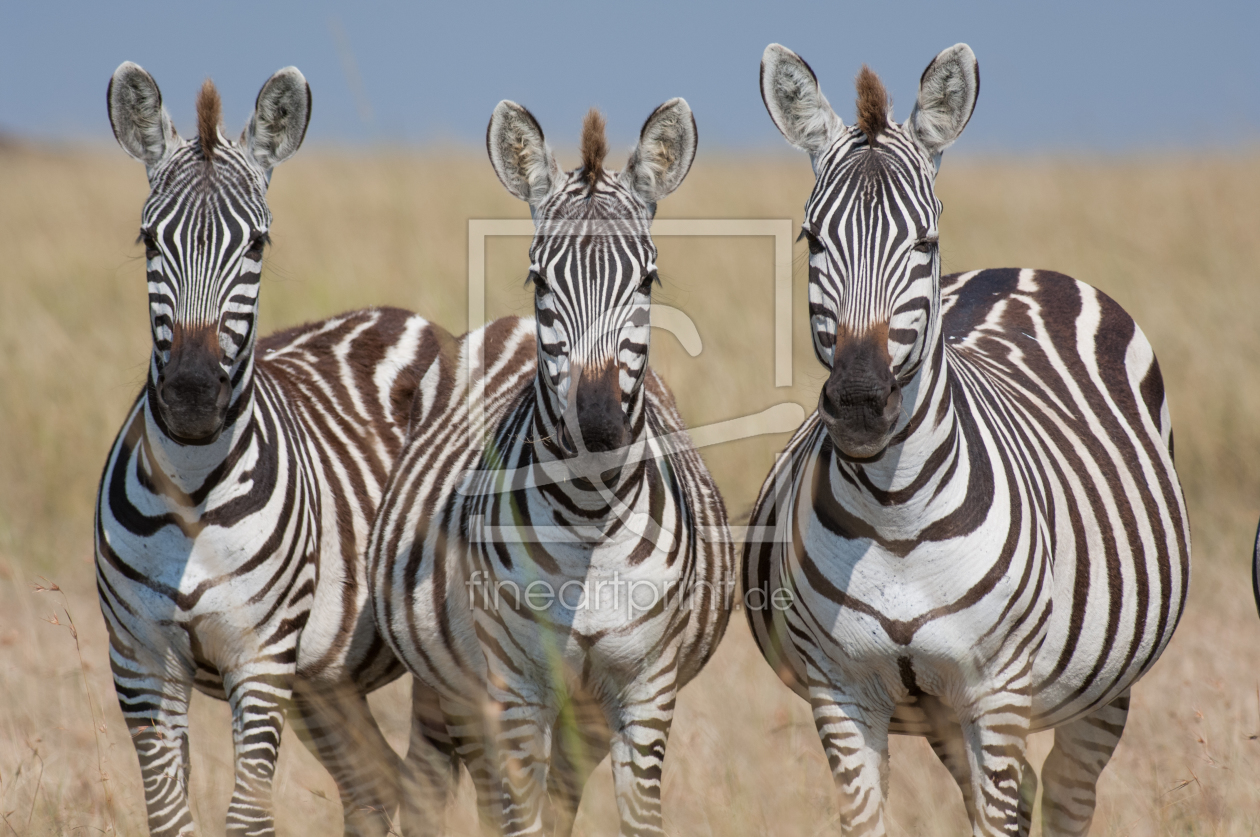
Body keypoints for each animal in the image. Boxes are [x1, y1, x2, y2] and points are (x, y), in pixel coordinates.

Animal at [99, 60, 453, 837]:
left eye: (257, 245)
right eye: (149, 241)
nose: (192, 397)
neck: (193, 491)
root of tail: (408, 318)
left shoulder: (260, 661)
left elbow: (247, 818)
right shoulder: (140, 663)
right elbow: (169, 817)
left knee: (429, 787)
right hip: (326, 677)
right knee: (374, 782)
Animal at [367, 101, 735, 831]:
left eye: (648, 279)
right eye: (540, 278)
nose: (599, 428)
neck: (591, 520)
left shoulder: (645, 690)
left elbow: (633, 818)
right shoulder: (516, 689)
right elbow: (520, 818)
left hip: (578, 715)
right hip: (451, 686)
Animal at [740, 45, 1194, 837]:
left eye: (924, 241)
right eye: (811, 239)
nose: (860, 404)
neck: (893, 516)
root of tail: (1015, 269)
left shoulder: (997, 689)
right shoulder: (842, 692)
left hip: (1105, 685)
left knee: (1066, 794)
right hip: (942, 714)